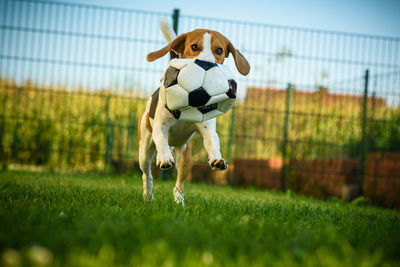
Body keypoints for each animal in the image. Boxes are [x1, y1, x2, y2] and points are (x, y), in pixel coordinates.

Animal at [139, 22, 248, 204]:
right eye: (194, 47)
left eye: (219, 50)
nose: (206, 64)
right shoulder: (161, 126)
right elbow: (161, 138)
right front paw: (164, 157)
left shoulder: (207, 128)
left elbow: (213, 142)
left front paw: (217, 159)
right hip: (145, 151)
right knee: (147, 175)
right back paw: (148, 196)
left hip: (185, 157)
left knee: (179, 184)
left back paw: (179, 201)